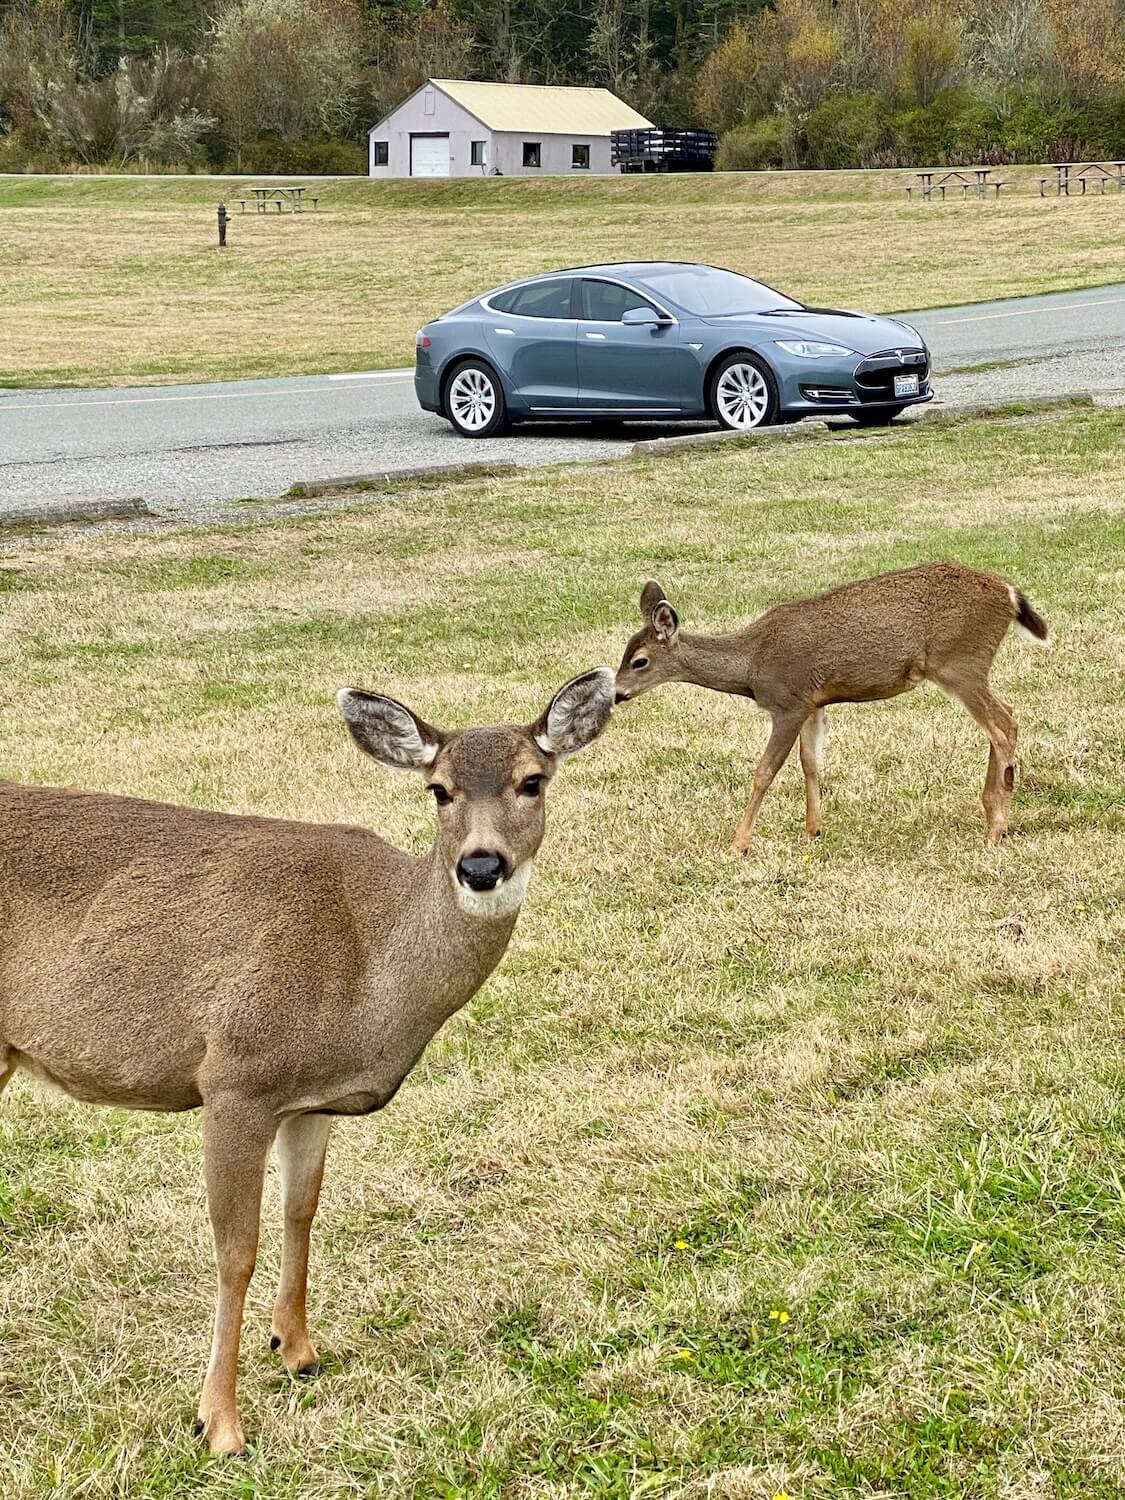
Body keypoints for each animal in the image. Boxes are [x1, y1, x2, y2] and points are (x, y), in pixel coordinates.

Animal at [0, 666, 618, 1452]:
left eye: (532, 781)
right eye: (438, 789)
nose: (480, 866)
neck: (368, 967)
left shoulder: (312, 1098)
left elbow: (302, 1211)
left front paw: (297, 1350)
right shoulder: (236, 1075)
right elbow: (236, 1251)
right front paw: (219, 1422)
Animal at [612, 564, 1056, 852]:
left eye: (640, 661)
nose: (616, 693)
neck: (752, 665)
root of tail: (1008, 593)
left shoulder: (788, 702)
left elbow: (764, 772)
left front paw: (739, 843)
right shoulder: (814, 702)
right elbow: (811, 763)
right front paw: (813, 830)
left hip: (959, 661)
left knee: (1003, 724)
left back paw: (996, 828)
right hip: (967, 665)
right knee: (1005, 717)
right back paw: (992, 813)